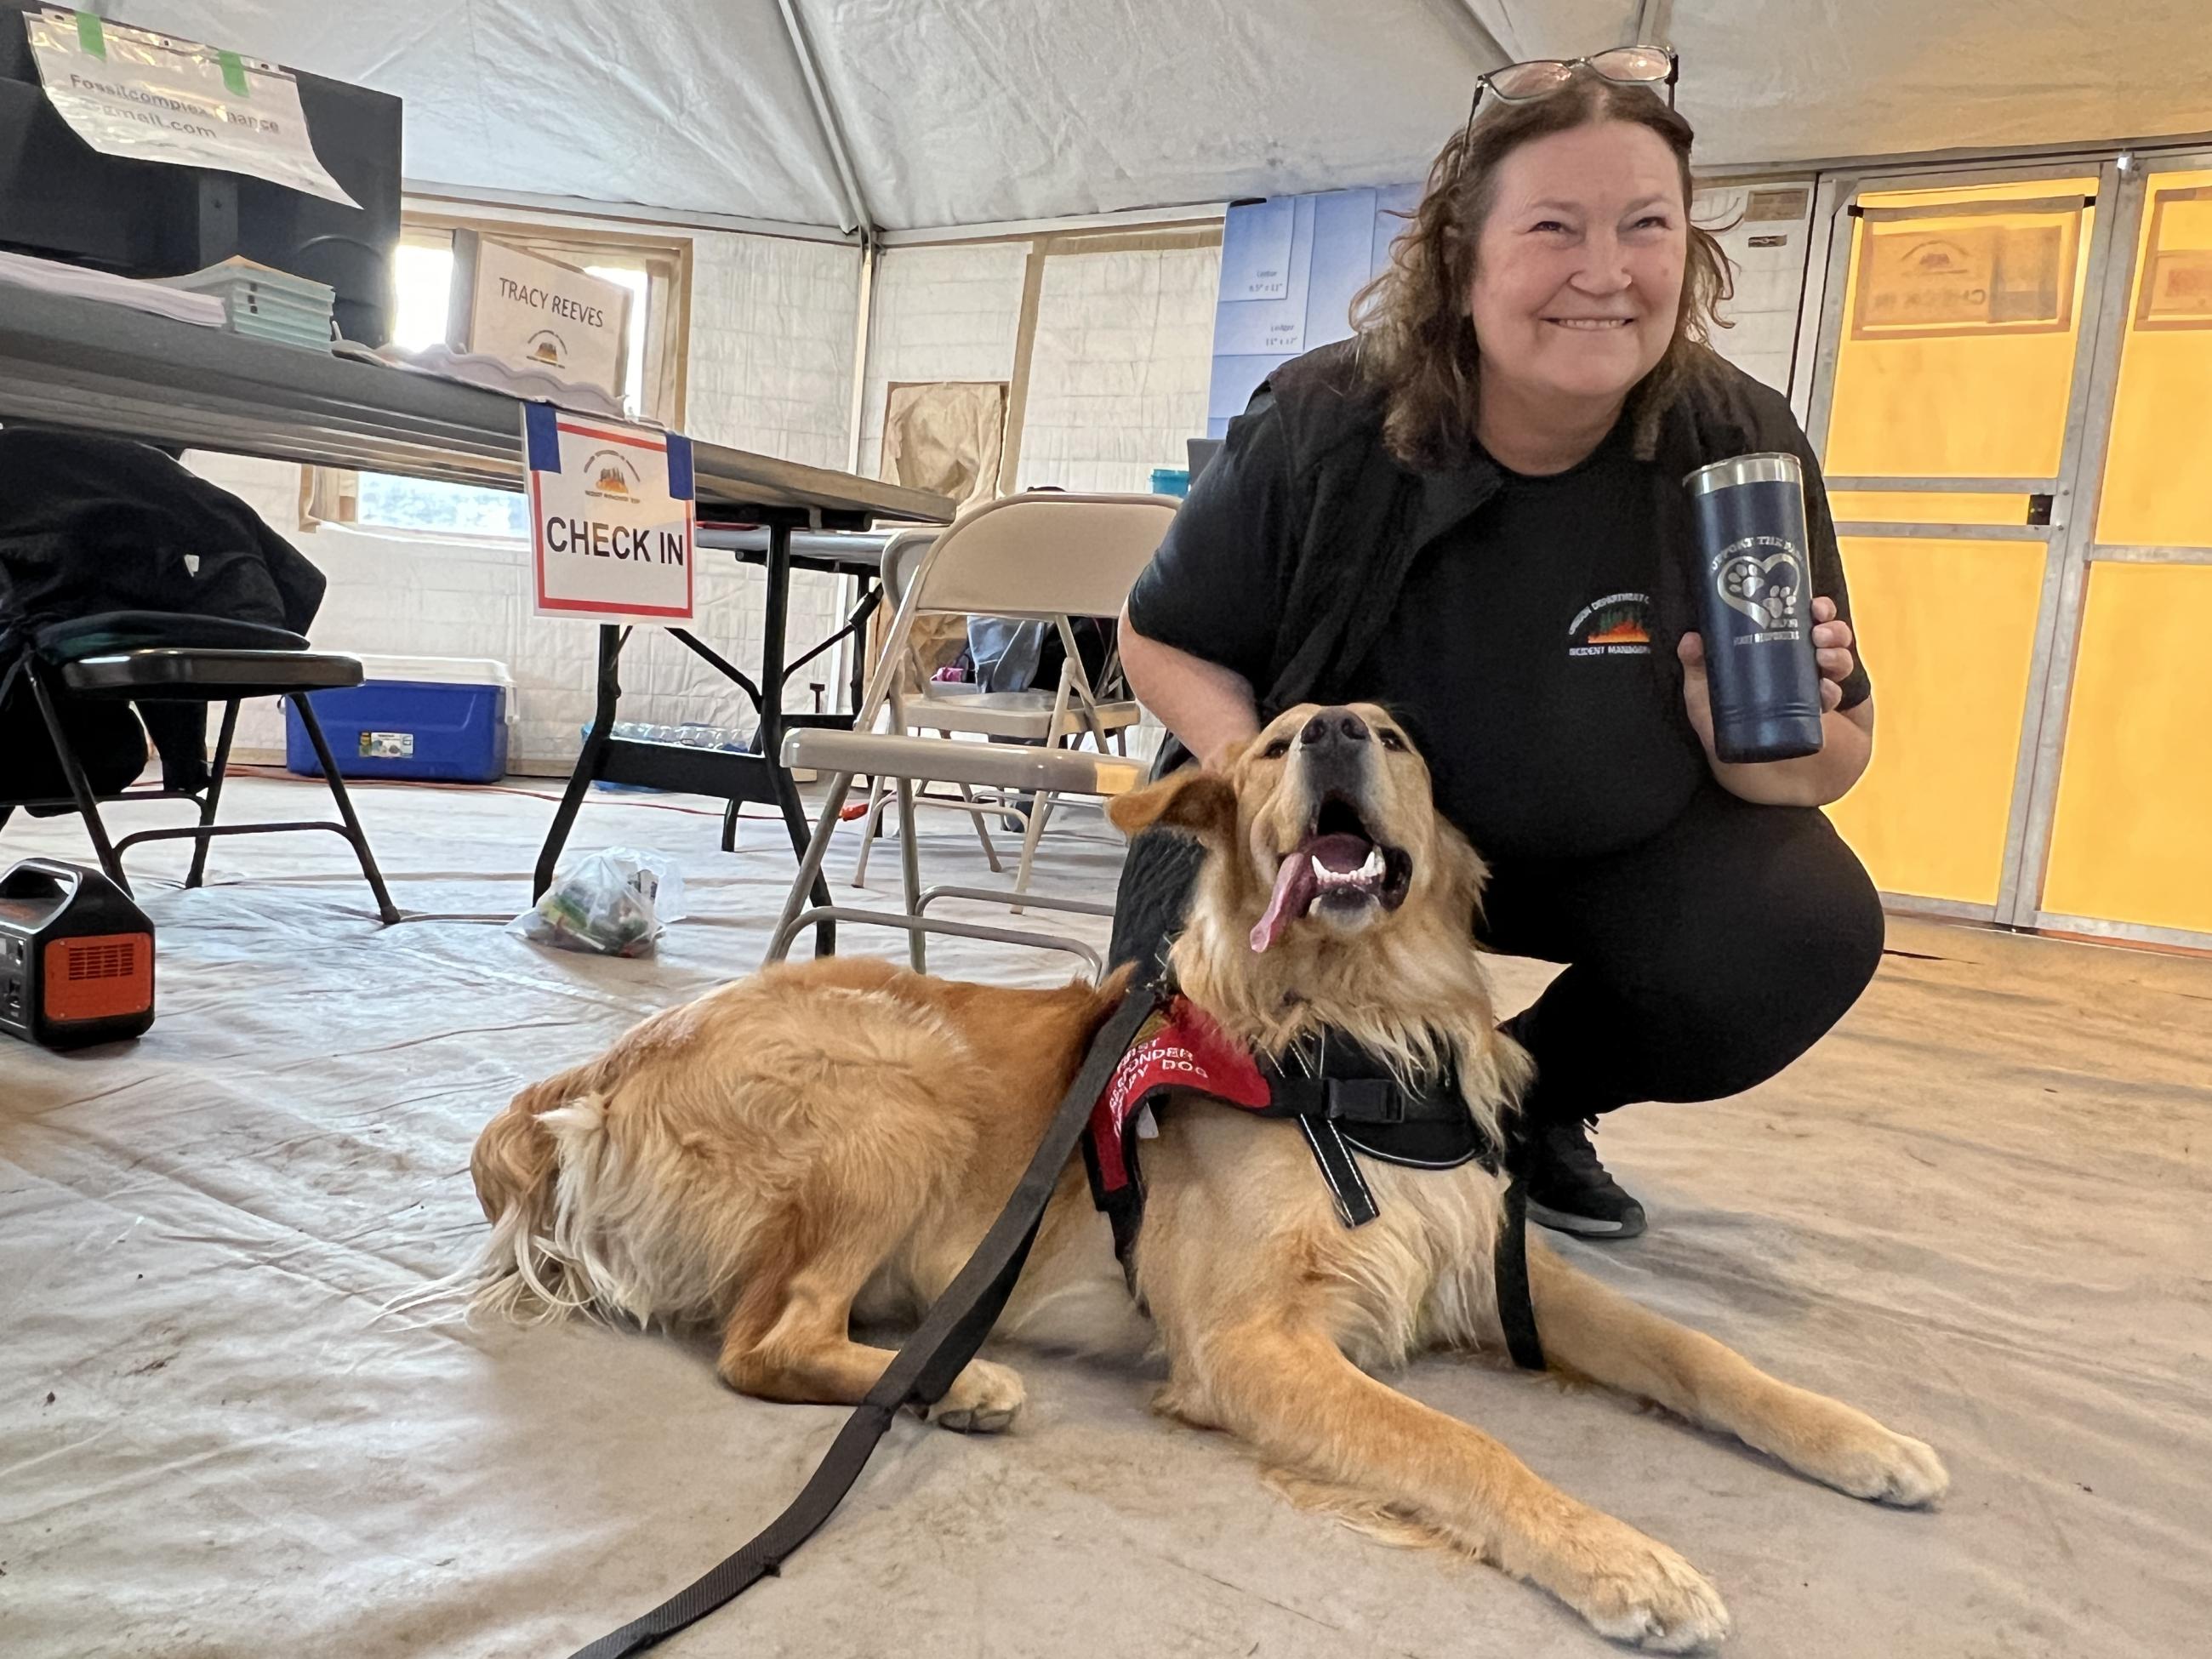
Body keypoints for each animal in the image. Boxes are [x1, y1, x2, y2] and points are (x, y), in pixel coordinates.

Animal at [466, 698, 1937, 1654]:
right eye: (1283, 739)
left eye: (1394, 737)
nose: (1337, 730)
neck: (1353, 1031)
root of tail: (595, 1072)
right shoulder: (1250, 1341)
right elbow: (1459, 1441)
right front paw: (1619, 1555)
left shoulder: (1493, 1269)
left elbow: (1700, 1354)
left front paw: (1858, 1438)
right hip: (899, 1085)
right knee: (762, 1343)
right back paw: (956, 1382)